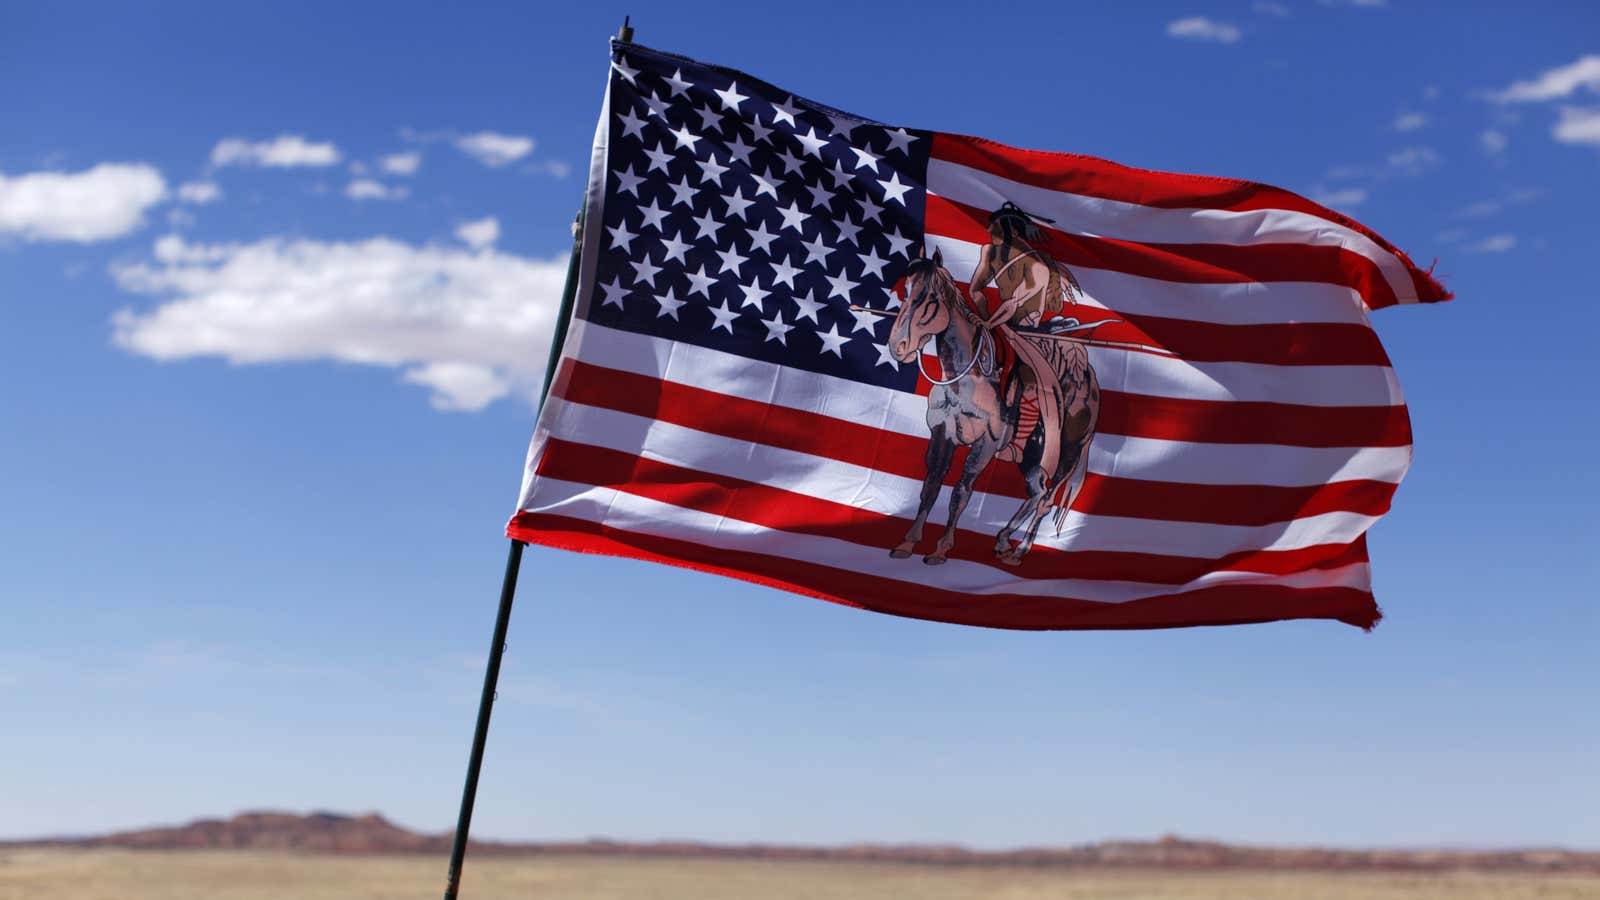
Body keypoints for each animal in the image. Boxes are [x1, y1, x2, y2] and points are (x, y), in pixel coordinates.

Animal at [883, 248, 1094, 563]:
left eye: (930, 299)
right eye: (905, 292)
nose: (899, 347)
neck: (965, 379)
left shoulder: (986, 442)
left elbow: (961, 492)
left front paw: (941, 549)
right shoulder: (942, 433)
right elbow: (931, 485)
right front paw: (907, 543)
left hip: (1068, 454)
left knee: (1045, 499)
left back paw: (1020, 550)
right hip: (1031, 458)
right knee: (1036, 492)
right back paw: (1003, 540)